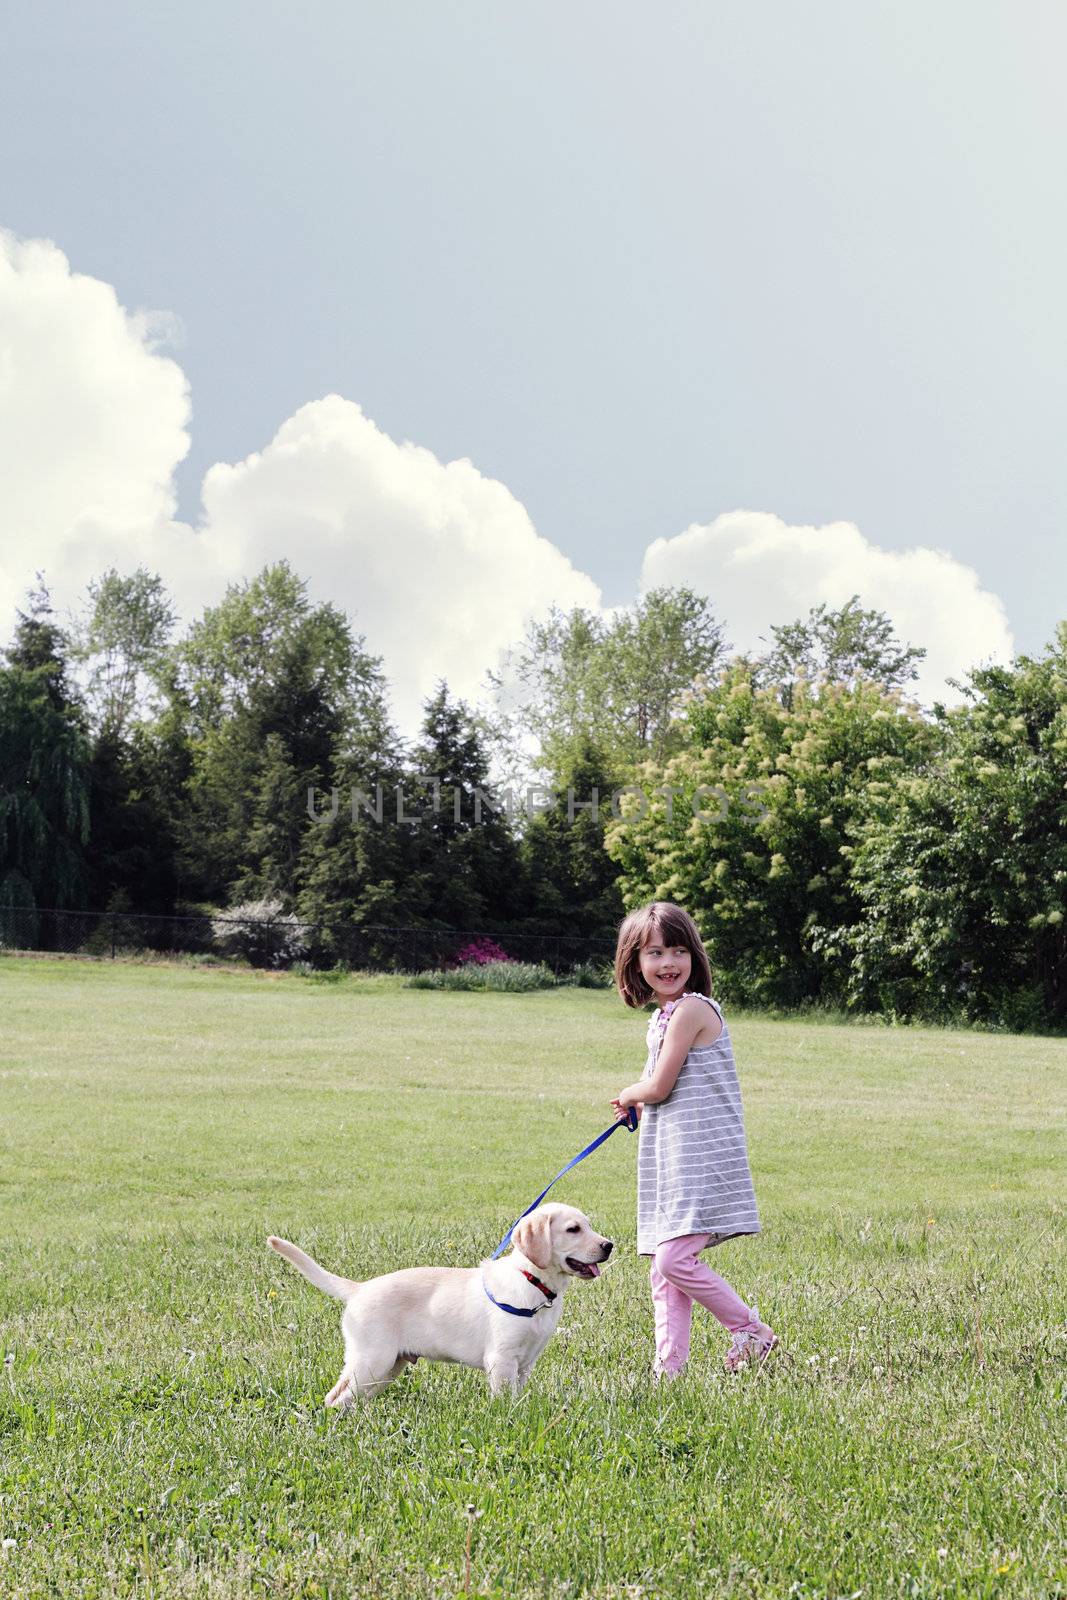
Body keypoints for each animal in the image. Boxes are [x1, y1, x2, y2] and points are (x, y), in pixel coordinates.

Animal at [267, 1203, 614, 1401]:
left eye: (589, 1226)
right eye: (573, 1229)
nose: (609, 1245)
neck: (532, 1281)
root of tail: (359, 1288)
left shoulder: (525, 1363)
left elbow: (520, 1397)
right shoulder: (501, 1360)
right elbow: (506, 1401)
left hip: (388, 1366)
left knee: (354, 1399)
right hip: (372, 1360)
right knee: (335, 1398)